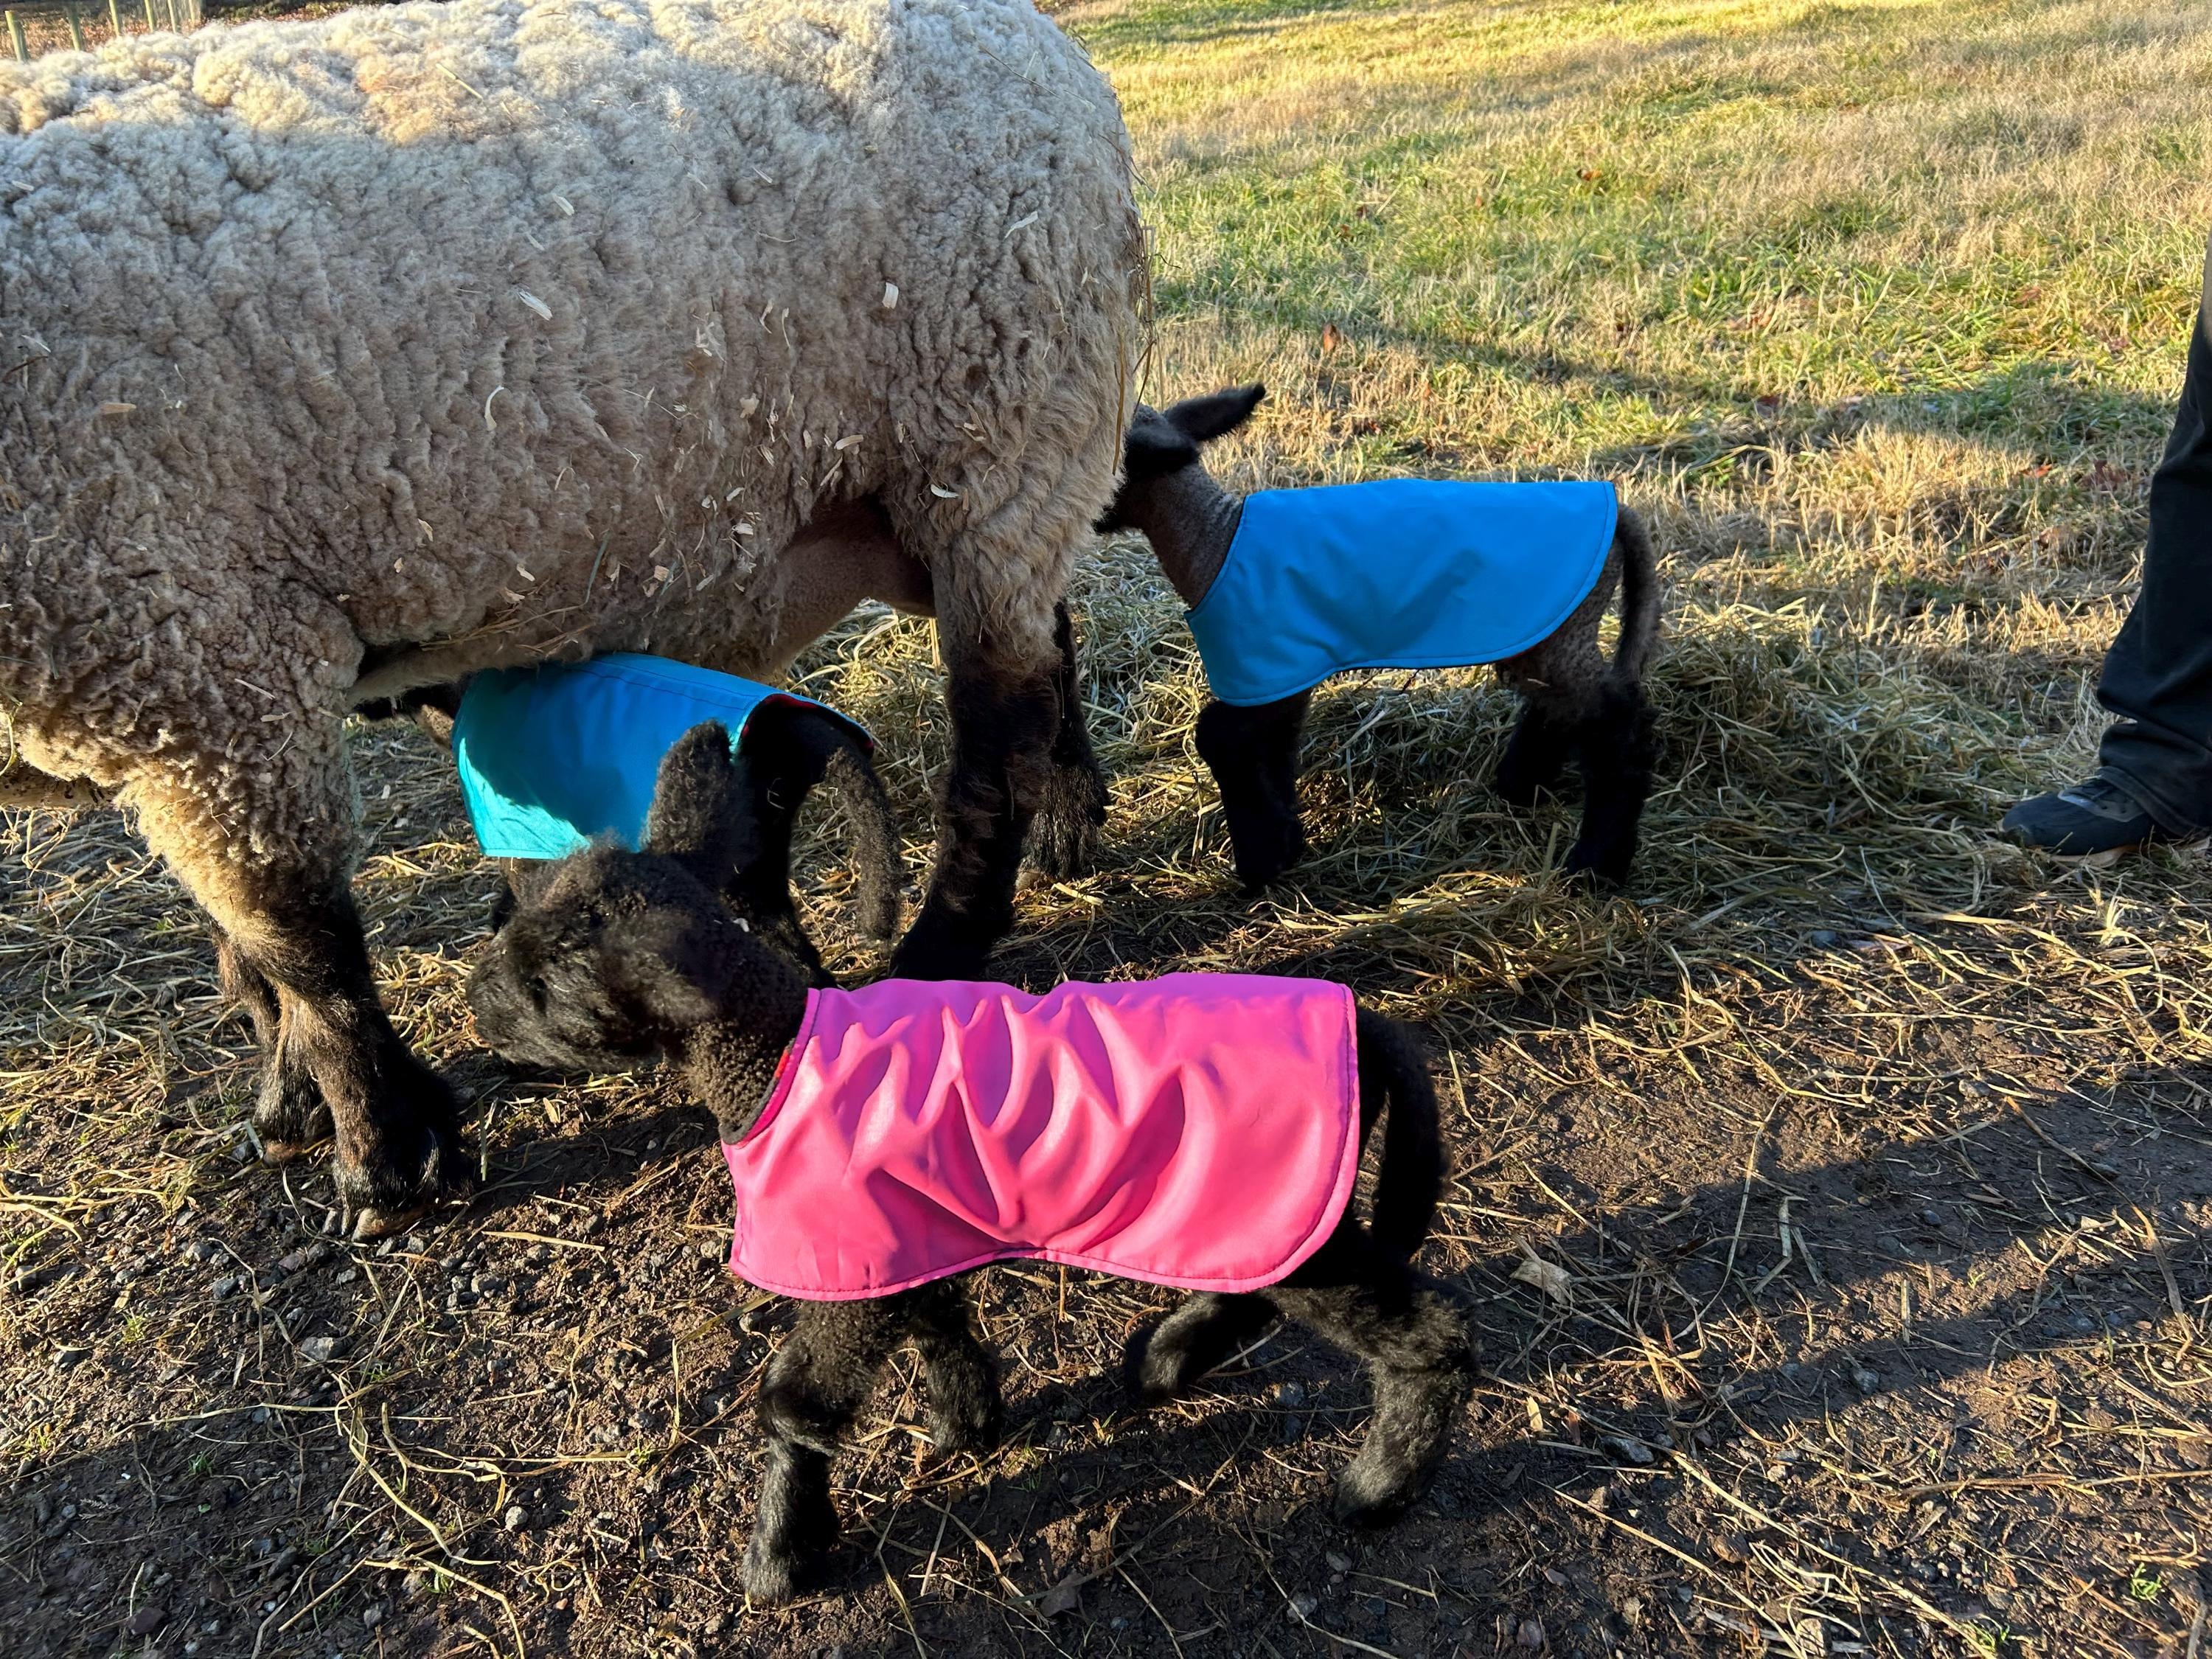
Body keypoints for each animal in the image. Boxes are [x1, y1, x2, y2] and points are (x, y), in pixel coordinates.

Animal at [0, 0, 1147, 1235]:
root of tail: (1048, 47)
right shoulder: (173, 686)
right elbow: (249, 948)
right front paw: (300, 1102)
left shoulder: (198, 656)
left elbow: (297, 938)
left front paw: (388, 1159)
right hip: (932, 488)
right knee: (1049, 635)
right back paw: (1073, 814)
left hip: (998, 417)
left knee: (992, 729)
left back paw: (943, 944)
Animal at [466, 722, 1475, 1603]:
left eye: (550, 984)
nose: (478, 1003)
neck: (773, 1056)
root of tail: (1368, 1028)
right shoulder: (901, 1237)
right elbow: (939, 1321)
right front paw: (969, 1423)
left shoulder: (846, 1250)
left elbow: (797, 1405)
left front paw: (780, 1559)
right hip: (1255, 1206)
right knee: (1258, 1285)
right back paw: (1167, 1361)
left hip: (1283, 1194)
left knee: (1427, 1335)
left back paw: (1376, 1487)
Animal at [1099, 386, 1663, 889]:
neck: (1214, 542)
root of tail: (1618, 513)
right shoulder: (1283, 673)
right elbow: (1275, 751)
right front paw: (1286, 845)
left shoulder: (1262, 663)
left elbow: (1220, 739)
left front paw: (1260, 865)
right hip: (1547, 630)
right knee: (1558, 708)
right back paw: (1521, 788)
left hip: (1565, 629)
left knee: (1618, 725)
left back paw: (1597, 865)